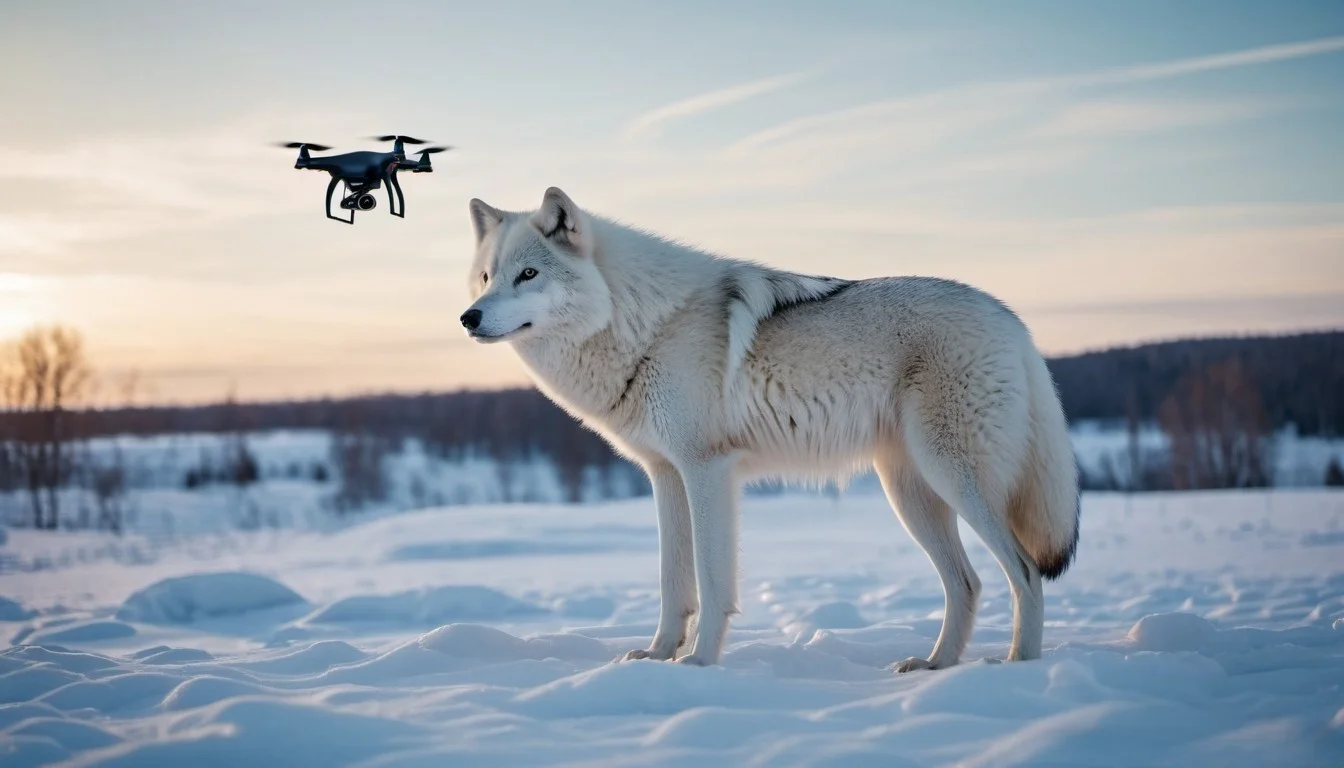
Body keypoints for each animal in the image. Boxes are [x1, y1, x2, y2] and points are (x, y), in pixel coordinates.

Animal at [459, 186, 1080, 671]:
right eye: (487, 278)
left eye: (529, 274)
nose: (469, 317)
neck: (642, 323)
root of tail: (1012, 320)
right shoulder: (665, 476)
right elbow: (672, 583)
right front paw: (656, 658)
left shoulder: (707, 470)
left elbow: (711, 584)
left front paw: (699, 665)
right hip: (910, 494)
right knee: (967, 583)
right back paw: (935, 665)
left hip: (953, 480)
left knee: (1025, 572)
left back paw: (1015, 670)